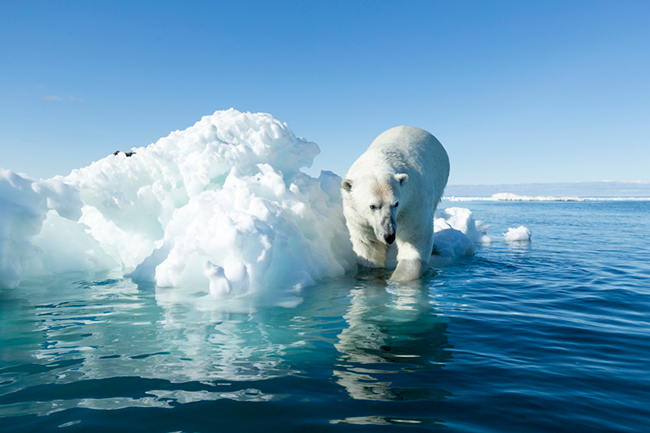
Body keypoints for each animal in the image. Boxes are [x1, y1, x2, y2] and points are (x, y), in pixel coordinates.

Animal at [340, 124, 450, 284]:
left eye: (396, 204)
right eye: (372, 206)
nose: (389, 236)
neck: (377, 159)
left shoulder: (413, 203)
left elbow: (413, 242)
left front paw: (398, 278)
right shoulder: (356, 215)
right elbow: (368, 247)